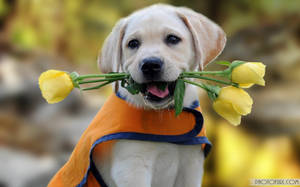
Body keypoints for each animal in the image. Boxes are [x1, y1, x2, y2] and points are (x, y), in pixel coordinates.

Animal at [95, 3, 225, 187]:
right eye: (133, 43)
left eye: (172, 39)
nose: (150, 64)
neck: (164, 114)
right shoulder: (132, 168)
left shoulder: (191, 166)